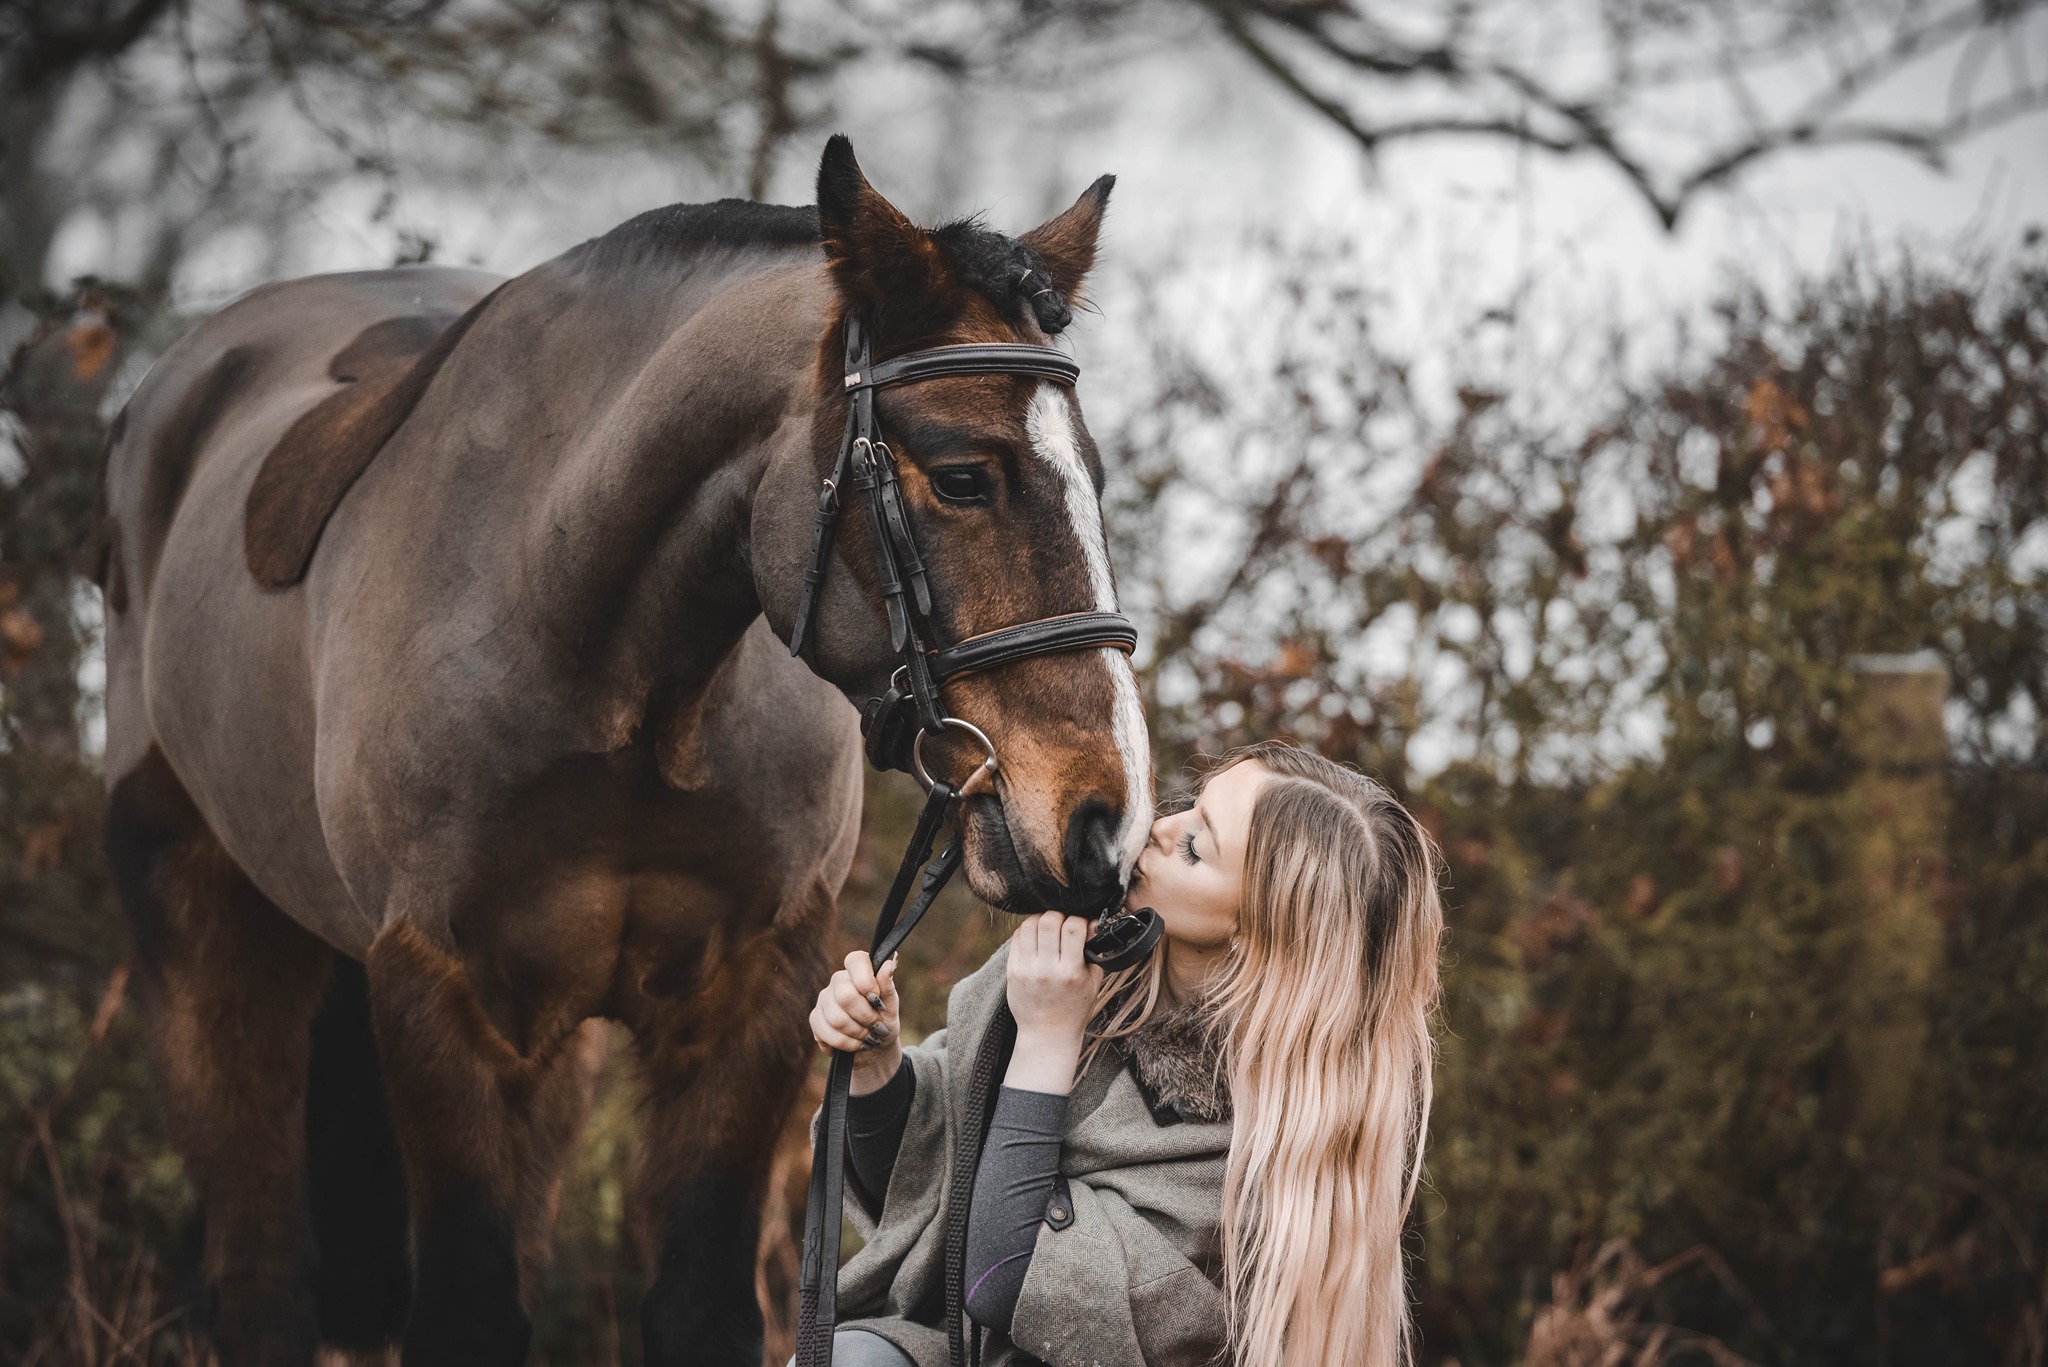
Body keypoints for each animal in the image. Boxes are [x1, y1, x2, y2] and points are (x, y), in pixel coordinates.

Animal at [96, 141, 1155, 1367]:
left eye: (1092, 477)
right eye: (961, 476)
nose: (1104, 817)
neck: (603, 664)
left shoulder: (748, 1001)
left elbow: (699, 1304)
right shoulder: (435, 997)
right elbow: (467, 1312)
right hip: (206, 947)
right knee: (260, 1269)